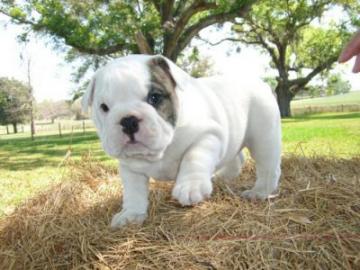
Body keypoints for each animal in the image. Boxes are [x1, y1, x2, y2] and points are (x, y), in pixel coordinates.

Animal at [81, 54, 282, 228]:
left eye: (154, 97)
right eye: (104, 107)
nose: (128, 120)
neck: (162, 149)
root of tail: (261, 84)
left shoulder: (208, 135)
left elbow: (193, 157)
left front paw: (191, 186)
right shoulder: (130, 169)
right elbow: (133, 192)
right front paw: (131, 214)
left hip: (263, 137)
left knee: (268, 167)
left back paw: (259, 192)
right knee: (236, 159)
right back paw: (221, 178)